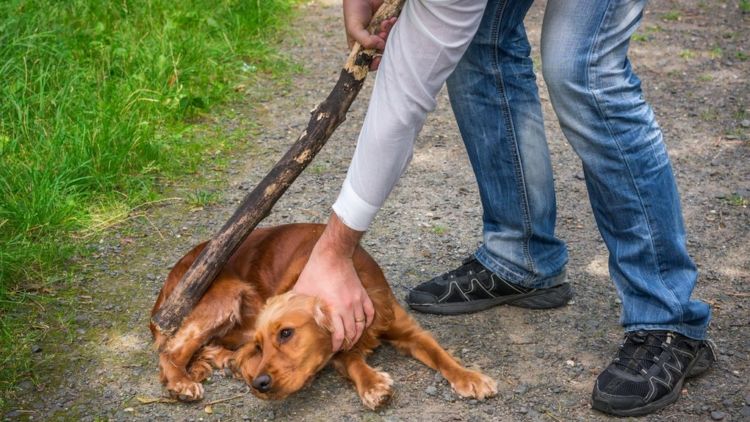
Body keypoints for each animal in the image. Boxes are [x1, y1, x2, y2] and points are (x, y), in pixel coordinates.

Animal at [150, 224, 496, 408]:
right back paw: (182, 381)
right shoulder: (338, 348)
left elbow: (441, 355)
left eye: (286, 333)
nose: (260, 384)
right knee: (171, 349)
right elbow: (354, 363)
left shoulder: (407, 330)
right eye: (263, 345)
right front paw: (373, 384)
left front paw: (470, 377)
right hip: (226, 295)